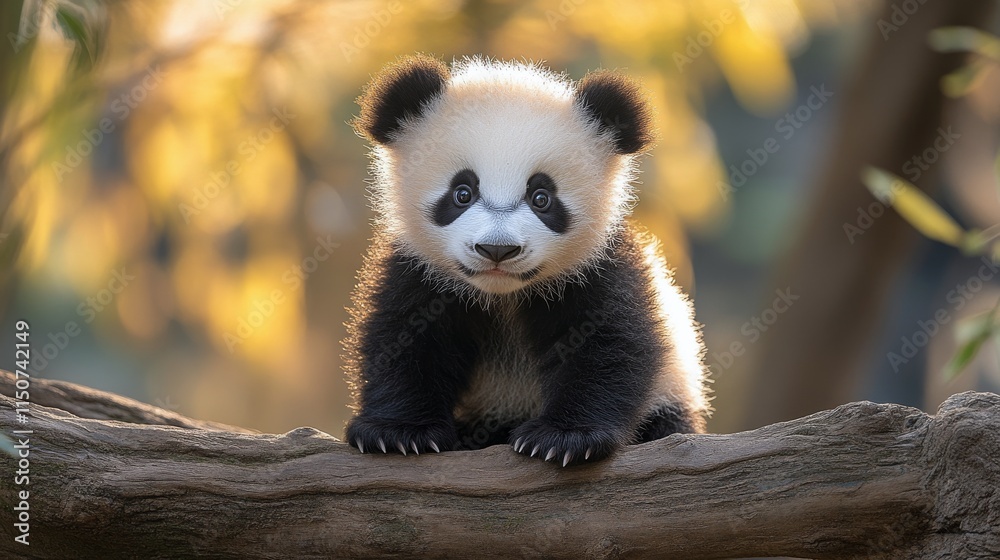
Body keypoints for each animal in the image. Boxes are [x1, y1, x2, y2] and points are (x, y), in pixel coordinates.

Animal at [344, 55, 709, 466]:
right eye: (462, 193)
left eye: (541, 197)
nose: (497, 250)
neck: (502, 294)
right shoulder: (418, 271)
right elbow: (402, 339)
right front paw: (398, 431)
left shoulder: (600, 268)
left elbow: (611, 346)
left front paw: (564, 438)